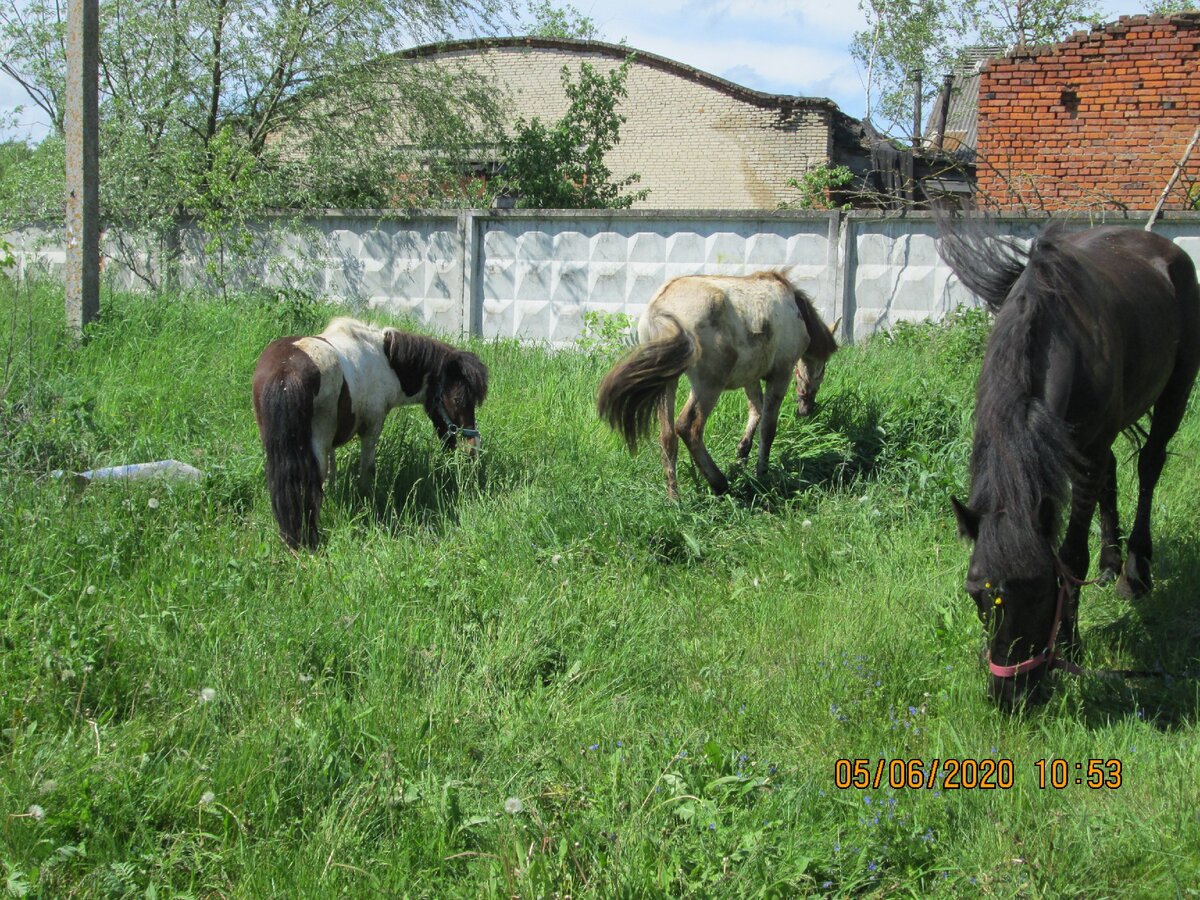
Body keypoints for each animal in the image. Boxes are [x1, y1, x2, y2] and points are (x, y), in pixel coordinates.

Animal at [252, 321, 487, 554]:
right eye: (458, 400)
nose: (473, 448)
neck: (384, 359)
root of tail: (285, 372)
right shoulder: (372, 427)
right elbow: (366, 469)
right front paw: (365, 500)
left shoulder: (331, 441)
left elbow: (332, 472)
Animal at [595, 273, 840, 501]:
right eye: (823, 369)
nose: (806, 410)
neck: (796, 309)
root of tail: (660, 309)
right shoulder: (781, 374)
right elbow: (768, 428)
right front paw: (762, 474)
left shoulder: (750, 377)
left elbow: (756, 410)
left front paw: (742, 456)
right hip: (709, 384)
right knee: (688, 427)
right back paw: (719, 484)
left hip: (668, 383)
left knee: (667, 436)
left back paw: (675, 498)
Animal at [940, 222, 1195, 710]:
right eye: (977, 595)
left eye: (1044, 591)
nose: (1011, 697)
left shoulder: (1089, 448)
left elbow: (1072, 553)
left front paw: (1072, 644)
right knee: (1113, 474)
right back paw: (1111, 562)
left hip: (1176, 388)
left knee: (1150, 465)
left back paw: (1134, 573)